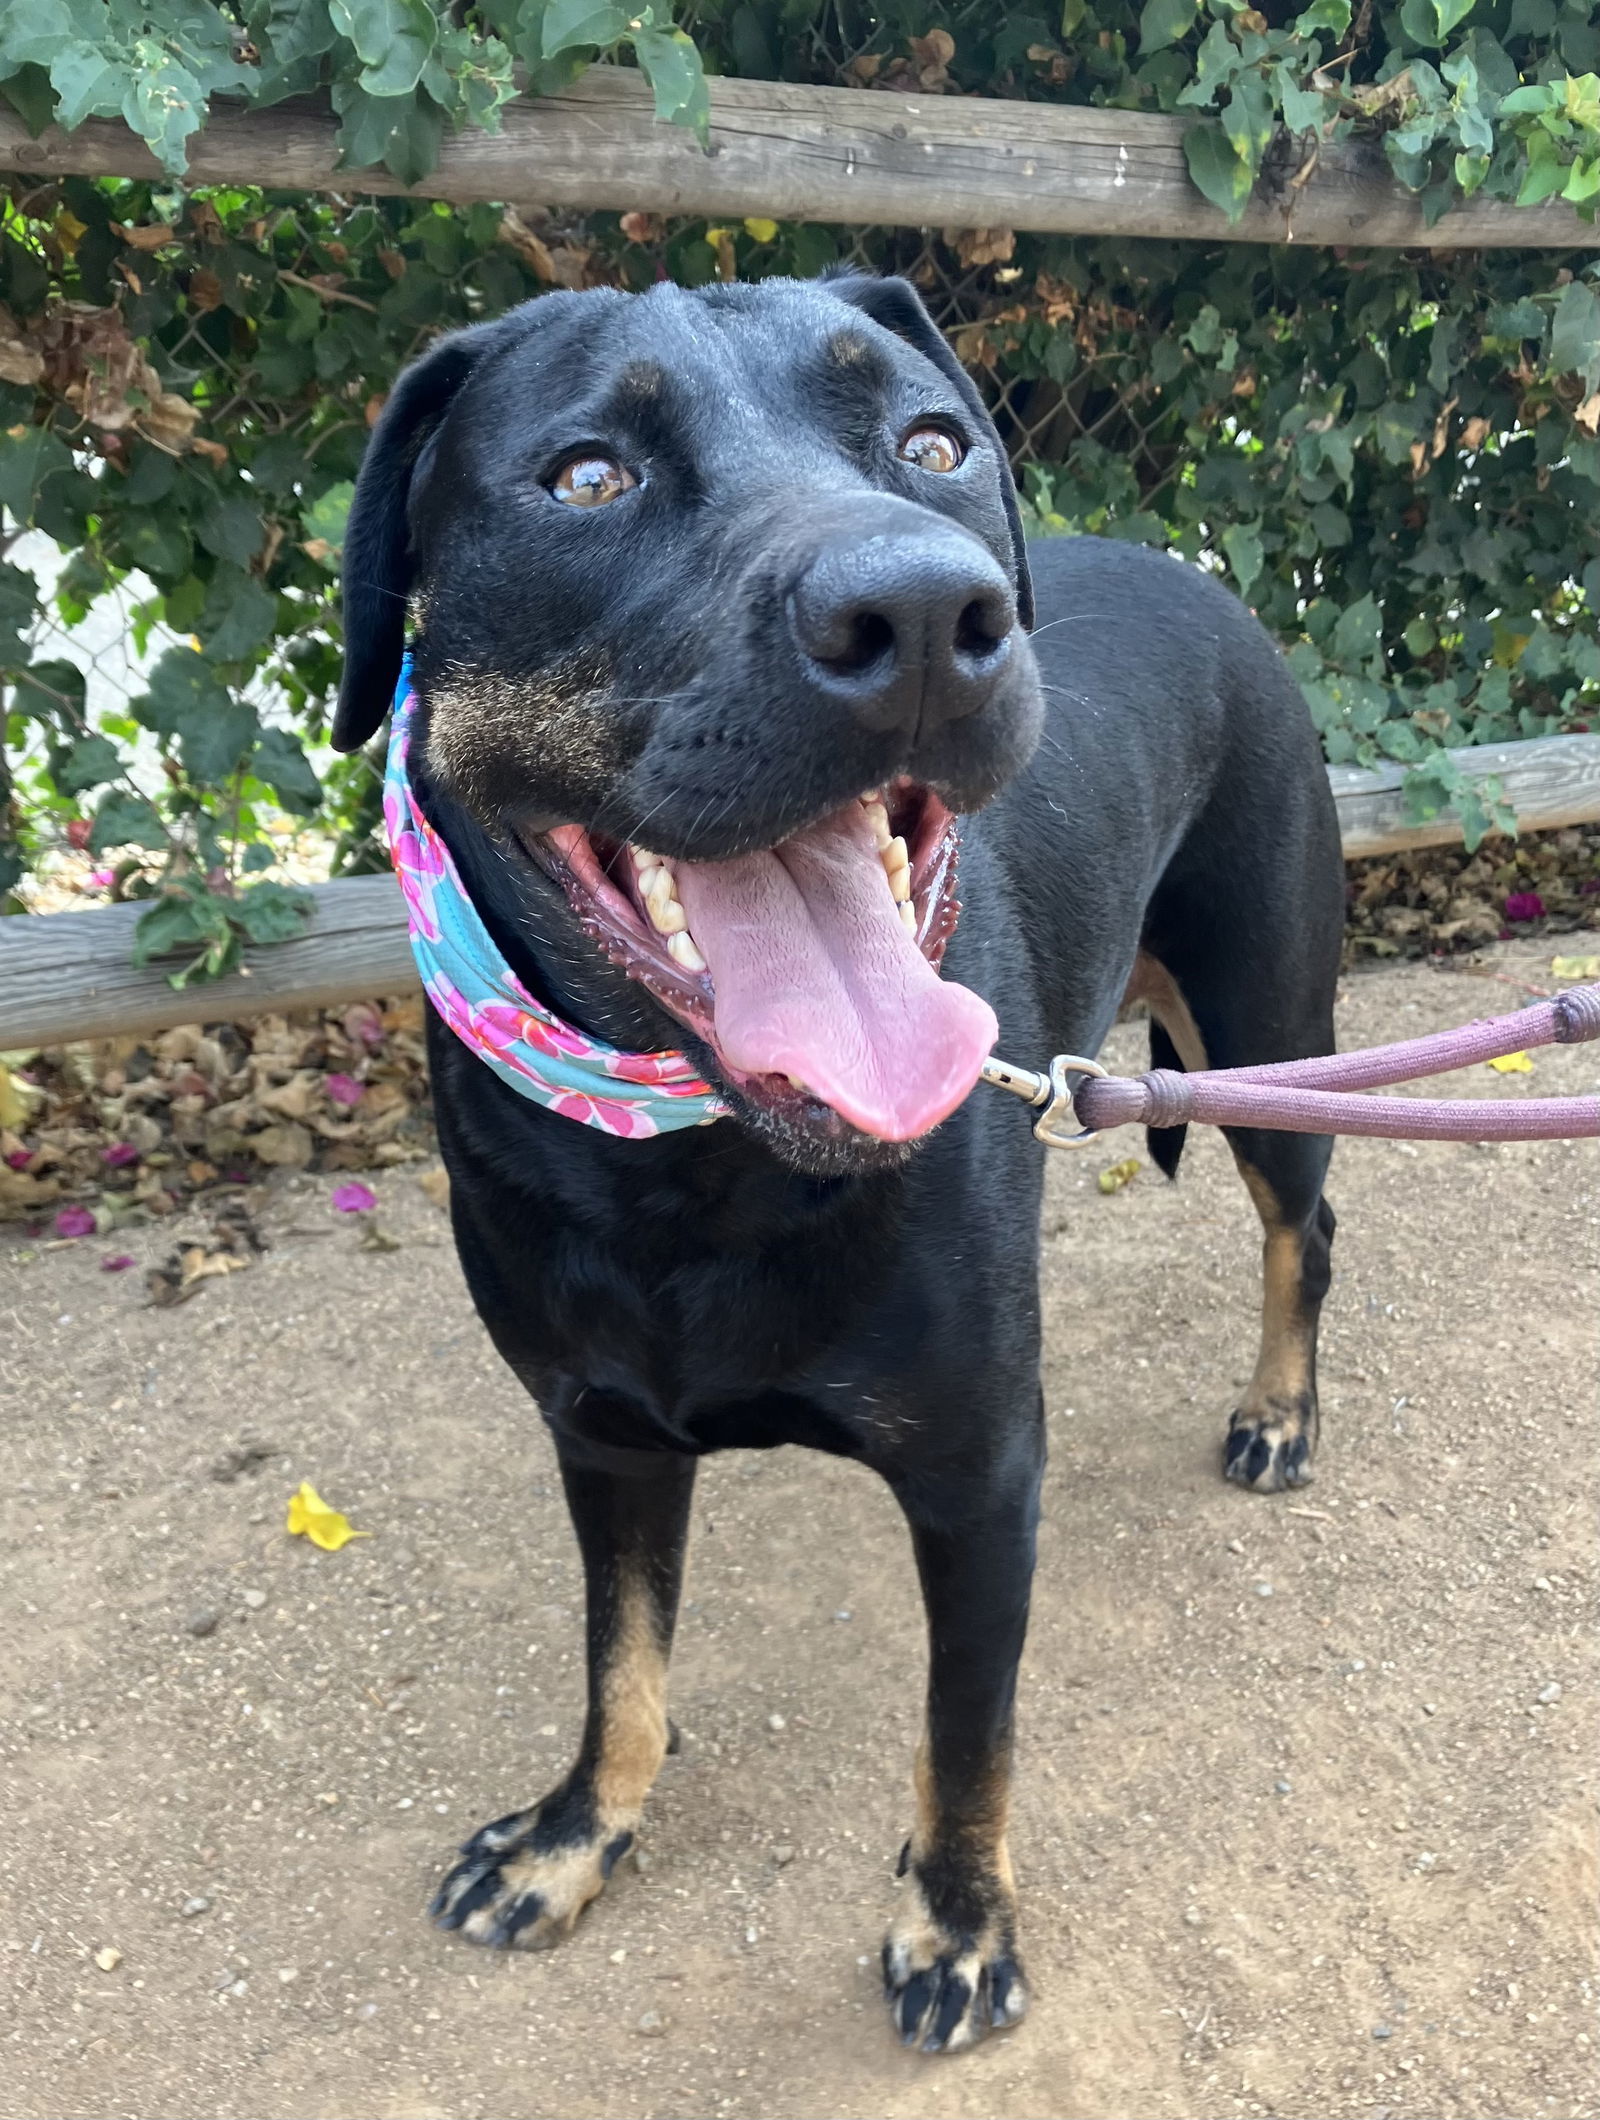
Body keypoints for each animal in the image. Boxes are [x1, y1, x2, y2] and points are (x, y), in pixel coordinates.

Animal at [332, 269, 1347, 2052]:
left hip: (1267, 1030)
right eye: (585, 476)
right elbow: (620, 1664)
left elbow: (966, 1735)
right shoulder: (598, 1436)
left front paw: (956, 1924)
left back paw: (1280, 1412)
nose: (929, 616)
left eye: (933, 443)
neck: (694, 1160)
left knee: (1311, 1226)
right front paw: (575, 1836)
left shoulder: (982, 1473)